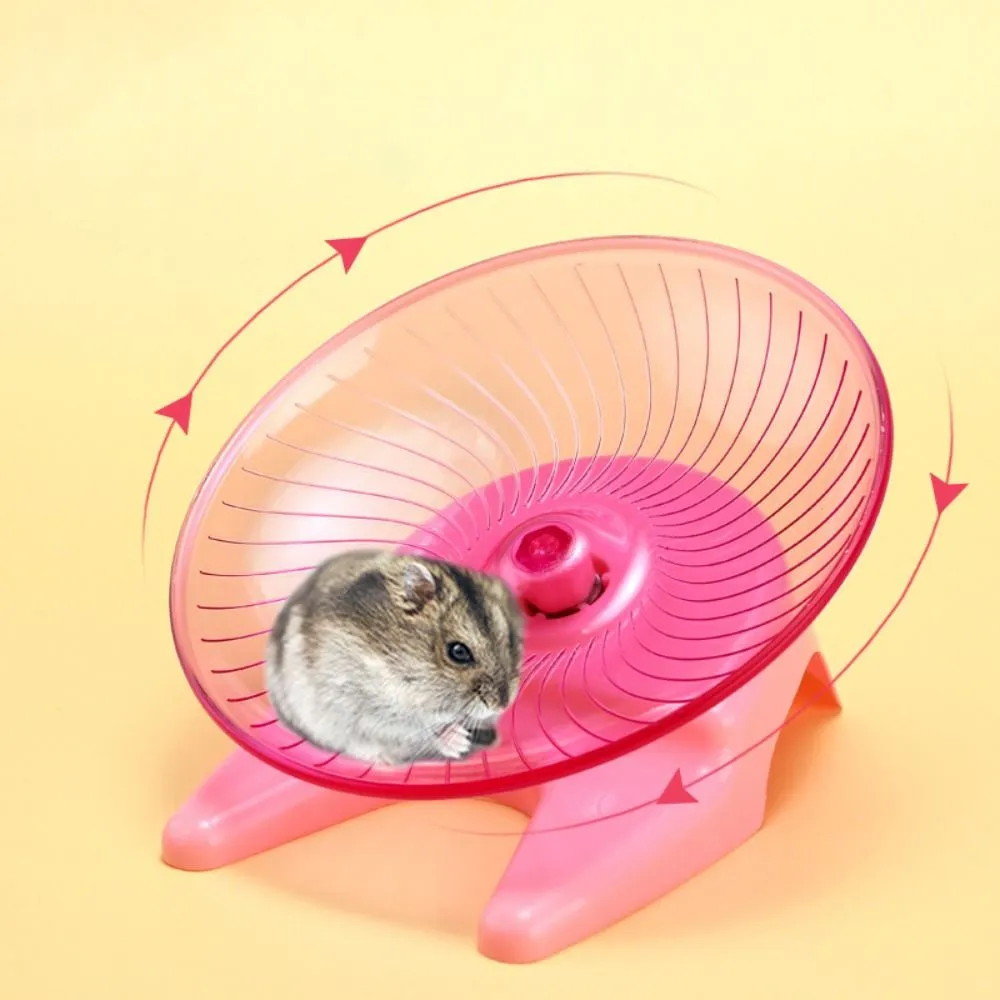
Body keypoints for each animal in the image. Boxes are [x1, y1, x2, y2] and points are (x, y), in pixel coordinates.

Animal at [264, 549, 525, 767]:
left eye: (511, 641)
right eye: (458, 652)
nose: (502, 704)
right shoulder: (367, 707)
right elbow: (418, 728)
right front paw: (459, 741)